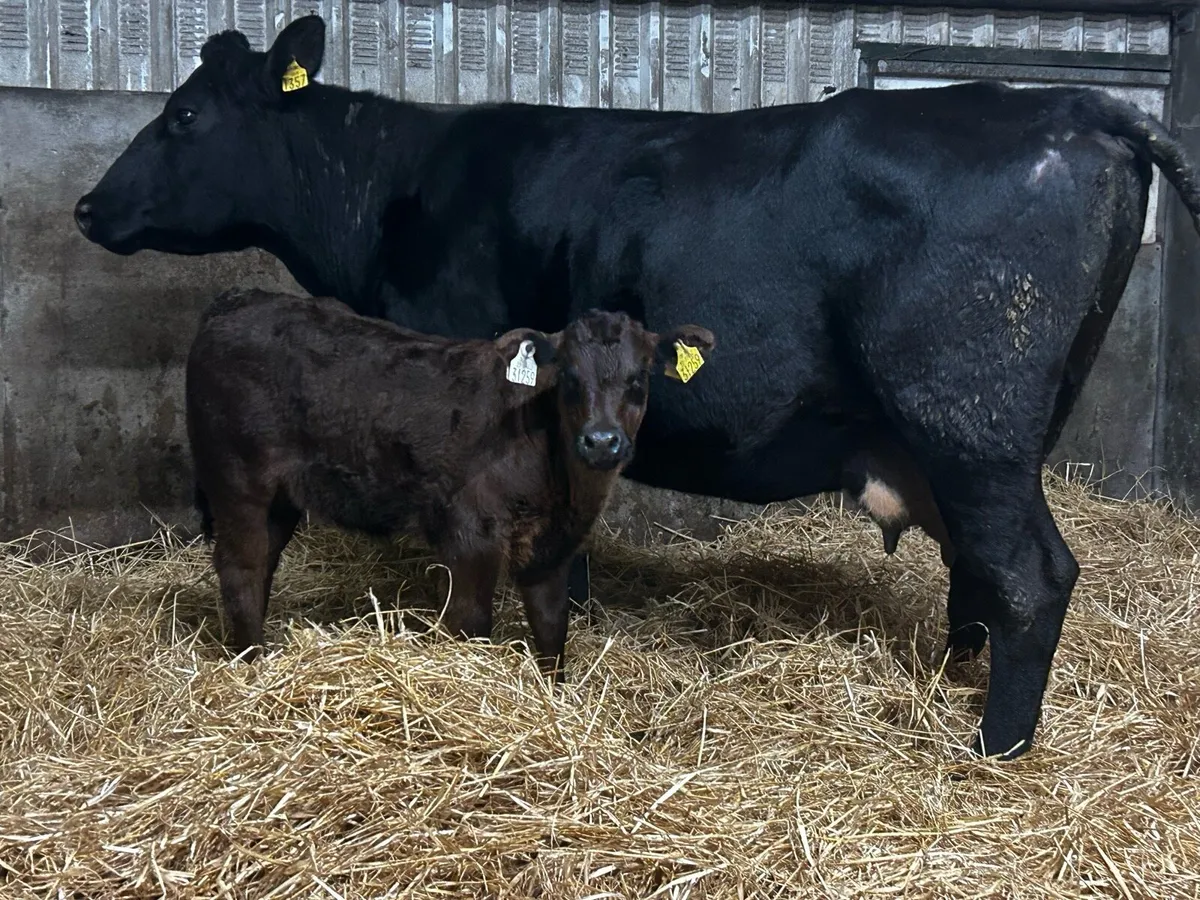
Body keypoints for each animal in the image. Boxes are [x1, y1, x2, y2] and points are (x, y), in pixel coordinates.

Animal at [186, 288, 715, 675]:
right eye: (568, 376)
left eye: (638, 379)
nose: (601, 441)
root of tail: (235, 301)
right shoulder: (470, 534)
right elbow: (472, 623)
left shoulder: (551, 548)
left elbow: (551, 629)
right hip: (237, 480)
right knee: (241, 567)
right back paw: (252, 665)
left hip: (280, 497)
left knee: (264, 564)